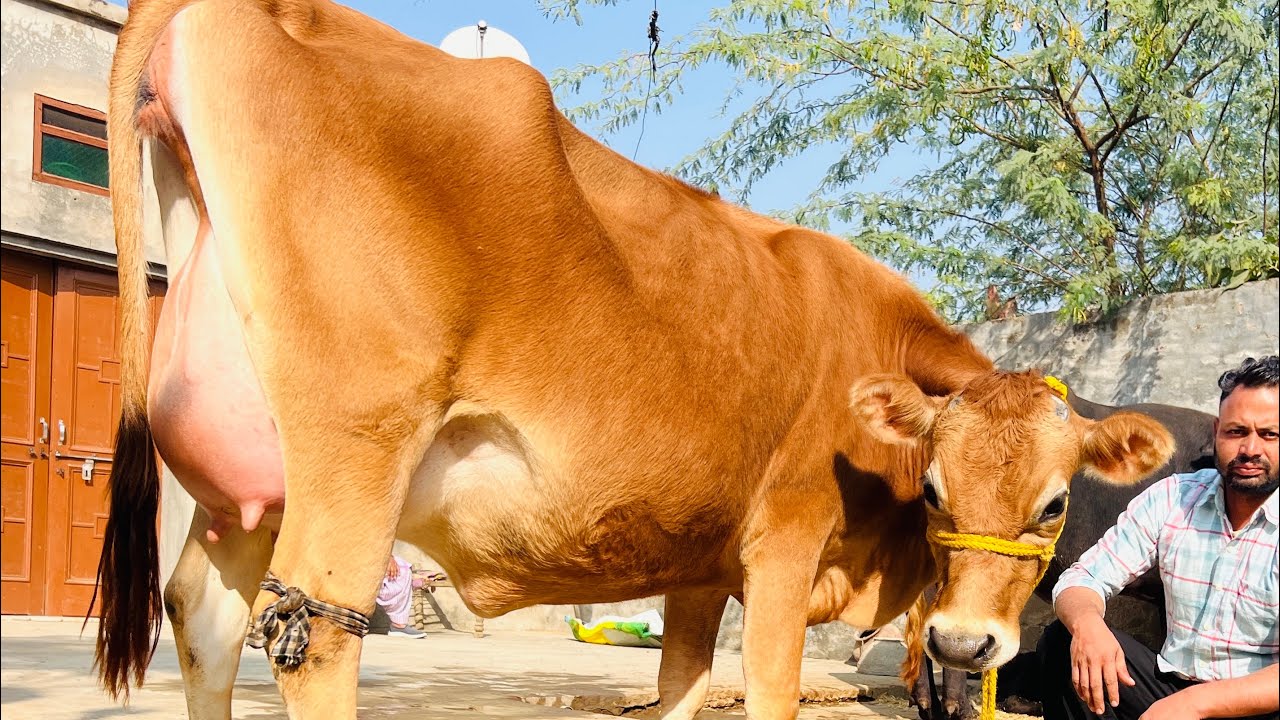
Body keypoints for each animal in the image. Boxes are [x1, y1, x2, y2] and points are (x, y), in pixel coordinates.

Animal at [92, 1, 1176, 718]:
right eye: (940, 490)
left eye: (1052, 505)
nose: (964, 641)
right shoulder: (782, 543)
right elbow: (769, 693)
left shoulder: (697, 563)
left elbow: (679, 692)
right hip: (356, 448)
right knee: (314, 635)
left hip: (246, 490)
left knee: (202, 618)